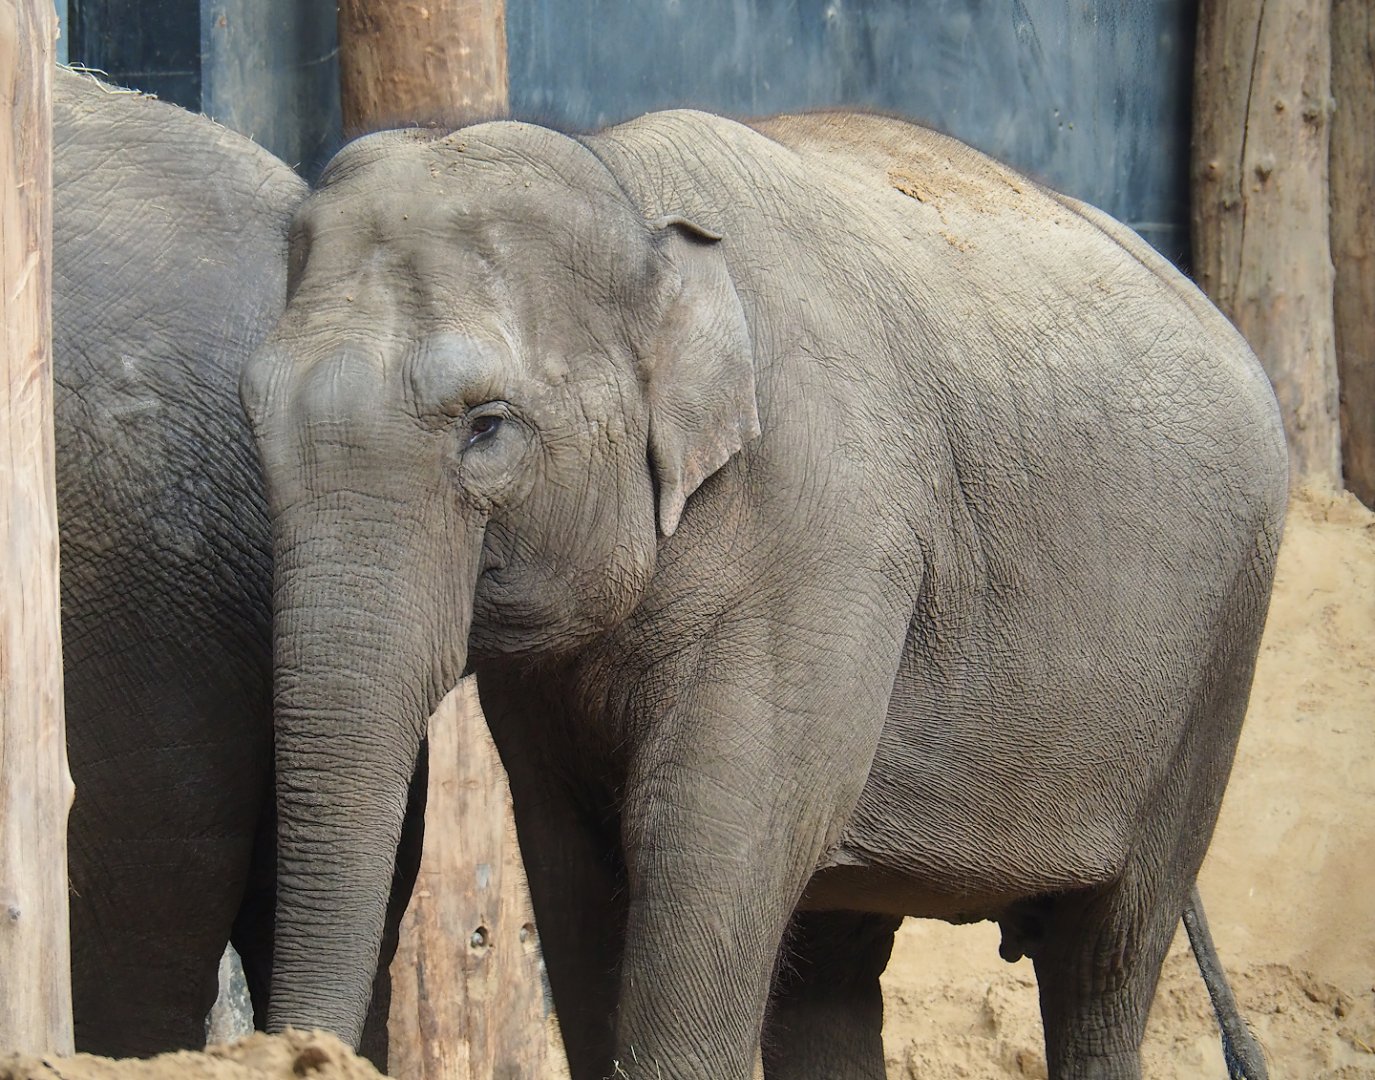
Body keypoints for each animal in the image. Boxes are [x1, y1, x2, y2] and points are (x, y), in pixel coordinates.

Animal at [244, 108, 1286, 1080]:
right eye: (251, 419)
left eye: (487, 427)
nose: (306, 1051)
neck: (623, 183)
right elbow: (573, 855)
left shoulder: (824, 534)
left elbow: (704, 833)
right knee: (836, 953)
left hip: (1217, 658)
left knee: (1107, 952)